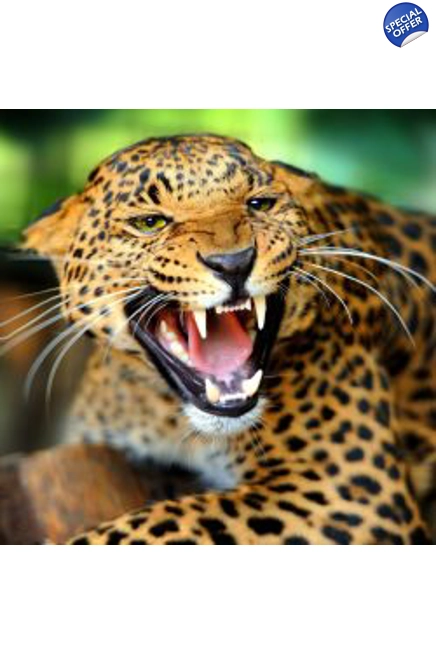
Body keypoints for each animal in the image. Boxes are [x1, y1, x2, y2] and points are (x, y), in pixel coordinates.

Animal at [23, 133, 436, 544]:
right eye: (150, 222)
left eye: (260, 204)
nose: (234, 263)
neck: (167, 415)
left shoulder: (350, 491)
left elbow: (160, 521)